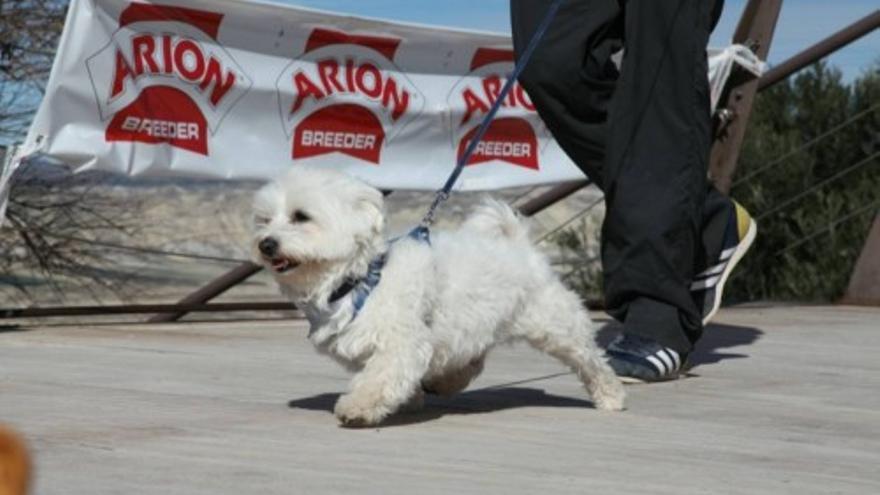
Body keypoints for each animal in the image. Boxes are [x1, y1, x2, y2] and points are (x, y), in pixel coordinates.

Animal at [253, 168, 624, 426]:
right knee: (472, 359)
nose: (266, 243)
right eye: (265, 220)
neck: (362, 279)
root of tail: (519, 244)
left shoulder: (402, 342)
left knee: (591, 361)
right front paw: (411, 397)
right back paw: (445, 381)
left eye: (301, 216)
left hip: (557, 325)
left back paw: (611, 396)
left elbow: (379, 377)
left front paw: (357, 407)